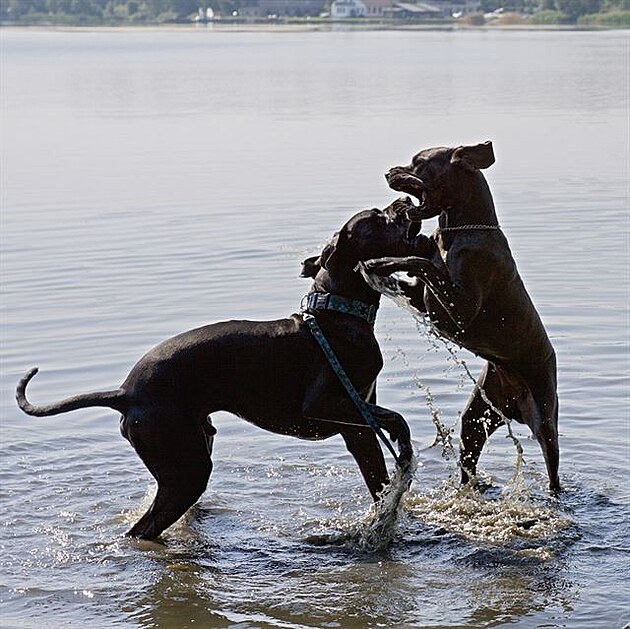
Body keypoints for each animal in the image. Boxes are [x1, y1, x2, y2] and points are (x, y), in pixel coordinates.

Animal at [366, 142, 564, 490]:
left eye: (418, 163)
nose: (388, 172)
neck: (458, 232)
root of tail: (515, 407)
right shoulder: (425, 300)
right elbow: (419, 268)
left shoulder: (460, 313)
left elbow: (420, 262)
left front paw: (384, 261)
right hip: (478, 415)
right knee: (468, 456)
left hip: (544, 416)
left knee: (552, 463)